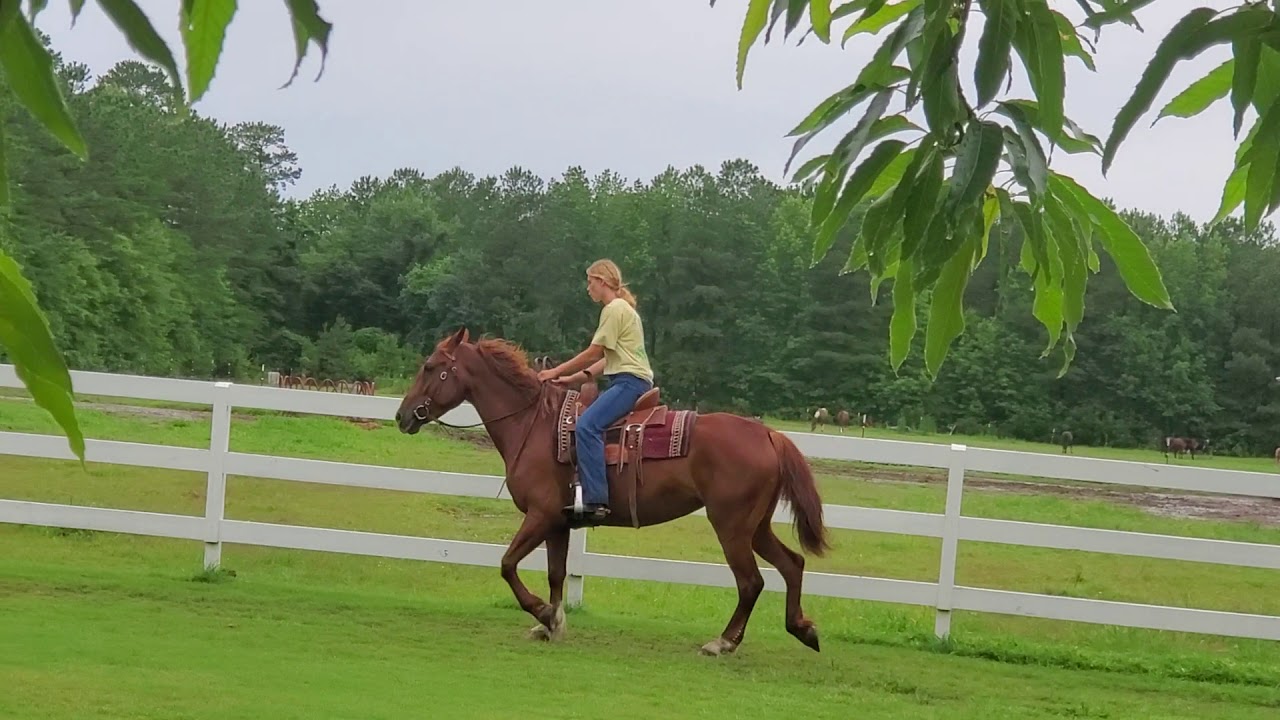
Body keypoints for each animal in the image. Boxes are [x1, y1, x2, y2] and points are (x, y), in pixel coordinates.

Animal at [394, 328, 830, 656]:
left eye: (431, 367)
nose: (402, 416)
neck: (534, 425)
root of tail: (768, 433)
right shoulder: (558, 524)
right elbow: (555, 574)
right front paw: (552, 623)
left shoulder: (540, 515)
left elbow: (507, 565)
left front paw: (543, 615)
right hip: (755, 527)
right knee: (792, 564)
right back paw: (803, 629)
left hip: (732, 526)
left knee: (751, 582)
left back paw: (722, 642)